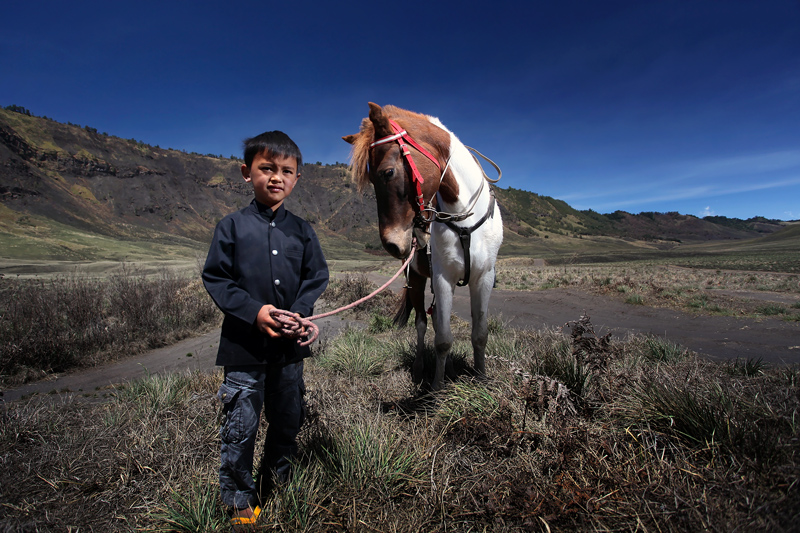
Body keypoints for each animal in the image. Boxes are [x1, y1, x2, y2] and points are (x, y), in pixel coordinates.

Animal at [342, 102, 500, 388]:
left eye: (387, 172)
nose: (392, 245)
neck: (465, 220)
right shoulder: (442, 278)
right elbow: (442, 339)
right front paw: (436, 389)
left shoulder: (483, 277)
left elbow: (479, 334)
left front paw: (481, 379)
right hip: (416, 279)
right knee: (422, 323)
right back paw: (419, 368)